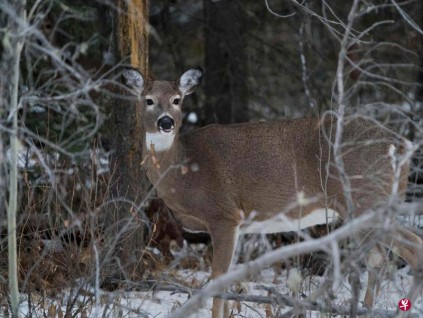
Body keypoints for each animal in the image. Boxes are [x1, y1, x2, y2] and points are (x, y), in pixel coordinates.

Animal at [122, 66, 423, 316]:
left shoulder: (224, 215)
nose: (166, 122)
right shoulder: (238, 224)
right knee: (378, 258)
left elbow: (219, 279)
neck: (185, 169)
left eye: (177, 99)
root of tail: (401, 144)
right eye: (148, 100)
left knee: (411, 248)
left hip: (367, 198)